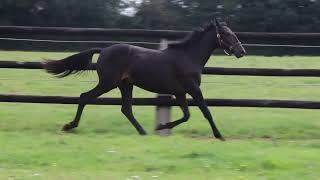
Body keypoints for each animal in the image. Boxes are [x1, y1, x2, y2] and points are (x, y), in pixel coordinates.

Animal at [43, 18, 246, 141]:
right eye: (227, 34)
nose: (241, 51)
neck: (188, 56)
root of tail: (104, 50)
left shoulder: (180, 92)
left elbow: (186, 115)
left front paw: (161, 126)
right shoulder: (193, 88)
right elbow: (206, 112)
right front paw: (219, 136)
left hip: (125, 85)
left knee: (126, 109)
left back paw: (143, 132)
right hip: (108, 83)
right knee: (85, 97)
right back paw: (69, 126)